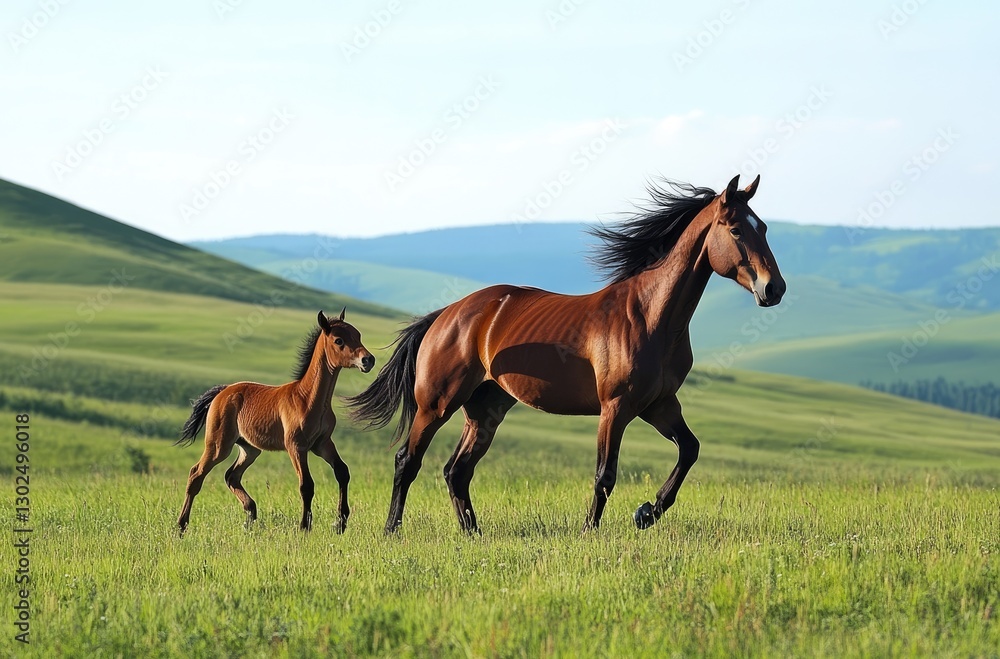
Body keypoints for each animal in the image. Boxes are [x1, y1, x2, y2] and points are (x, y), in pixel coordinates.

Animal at [175, 309, 375, 535]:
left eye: (358, 335)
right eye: (339, 340)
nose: (368, 360)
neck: (308, 398)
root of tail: (223, 391)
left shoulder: (322, 444)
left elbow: (342, 472)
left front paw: (340, 522)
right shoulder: (296, 446)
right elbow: (306, 485)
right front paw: (304, 527)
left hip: (250, 448)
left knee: (231, 476)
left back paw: (250, 517)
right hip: (219, 445)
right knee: (196, 474)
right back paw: (181, 526)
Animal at [348, 175, 786, 534]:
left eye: (763, 227)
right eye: (735, 229)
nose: (774, 288)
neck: (651, 316)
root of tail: (446, 314)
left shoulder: (659, 404)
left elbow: (689, 450)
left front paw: (646, 512)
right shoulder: (616, 407)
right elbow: (605, 475)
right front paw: (591, 530)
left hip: (485, 409)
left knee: (456, 471)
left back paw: (473, 533)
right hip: (437, 404)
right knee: (408, 460)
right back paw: (392, 531)